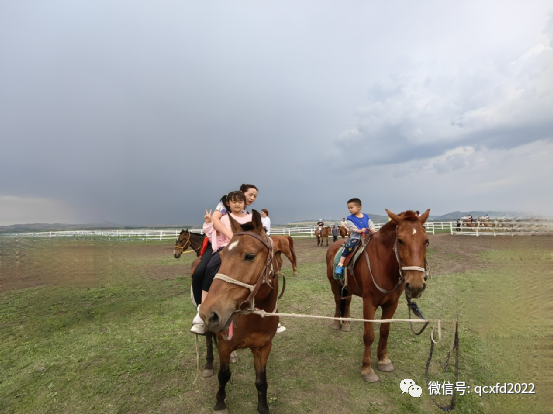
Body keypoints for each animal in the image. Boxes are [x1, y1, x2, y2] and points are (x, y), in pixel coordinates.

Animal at [199, 210, 280, 414]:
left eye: (250, 256)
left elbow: (261, 382)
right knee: (208, 340)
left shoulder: (263, 347)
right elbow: (223, 375)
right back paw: (208, 364)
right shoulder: (224, 346)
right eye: (222, 256)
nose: (209, 312)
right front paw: (220, 403)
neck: (253, 319)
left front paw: (263, 407)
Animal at [324, 210, 432, 382]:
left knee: (346, 301)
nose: (415, 285)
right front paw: (367, 369)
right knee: (337, 301)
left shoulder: (391, 304)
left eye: (426, 241)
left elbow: (384, 331)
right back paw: (336, 322)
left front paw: (383, 360)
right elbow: (369, 336)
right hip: (334, 285)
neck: (384, 265)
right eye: (400, 240)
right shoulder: (369, 303)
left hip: (348, 287)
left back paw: (346, 323)